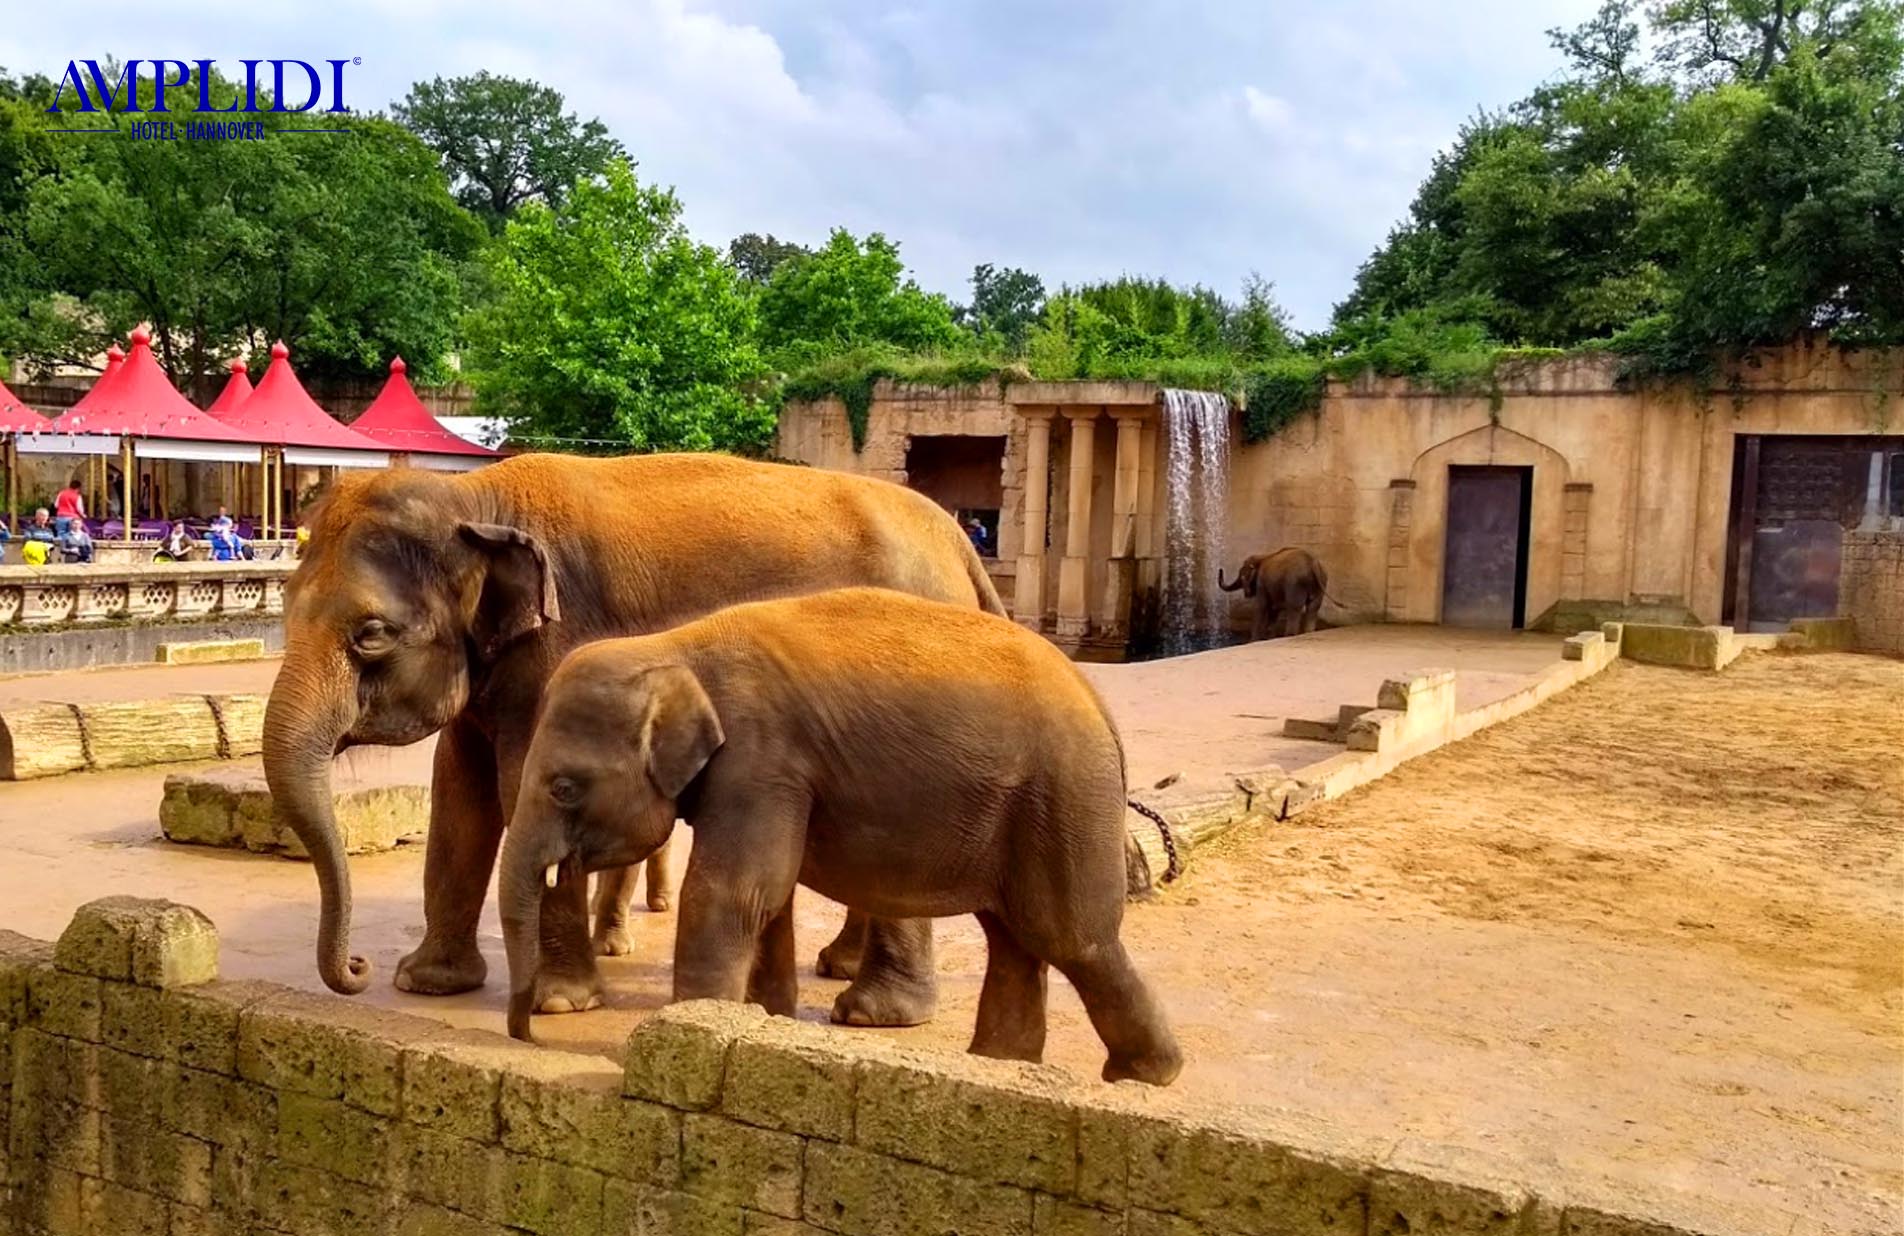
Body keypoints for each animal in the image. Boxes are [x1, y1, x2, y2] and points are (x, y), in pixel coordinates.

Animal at [270, 447, 1012, 1028]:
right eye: (282, 609)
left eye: (371, 634)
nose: (358, 967)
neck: (474, 498)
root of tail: (958, 545)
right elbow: (459, 796)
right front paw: (426, 984)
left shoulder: (557, 647)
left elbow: (516, 784)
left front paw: (559, 1003)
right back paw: (841, 968)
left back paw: (873, 1013)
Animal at [506, 586, 1188, 1081]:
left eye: (564, 787)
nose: (527, 1033)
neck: (678, 645)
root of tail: (1099, 703)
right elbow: (768, 900)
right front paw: (763, 1023)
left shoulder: (762, 759)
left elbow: (733, 892)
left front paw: (684, 1034)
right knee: (1014, 938)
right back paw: (1001, 1065)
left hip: (1063, 796)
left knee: (1072, 938)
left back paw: (1143, 1075)